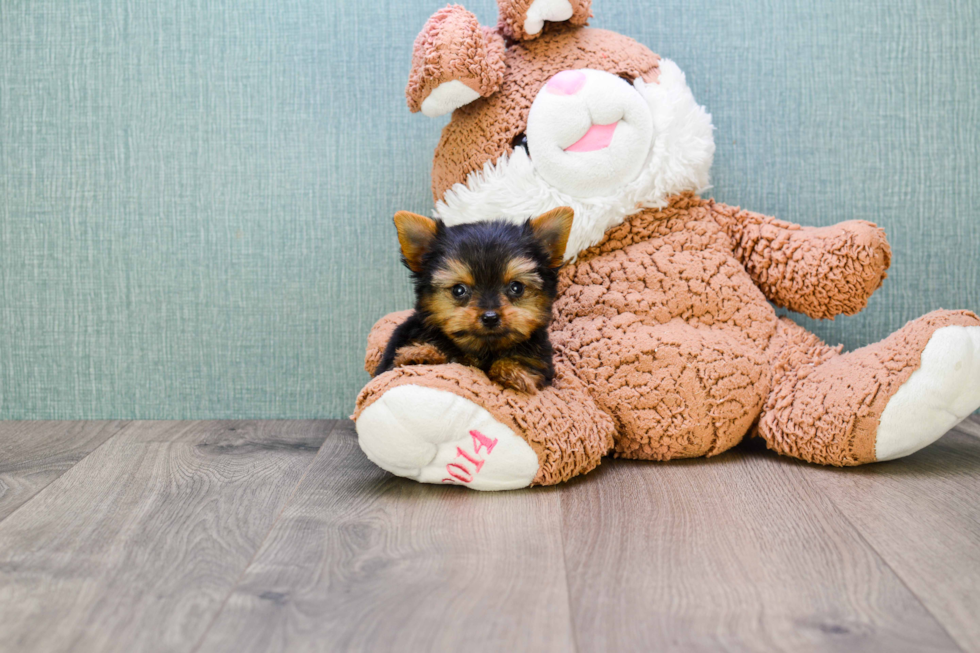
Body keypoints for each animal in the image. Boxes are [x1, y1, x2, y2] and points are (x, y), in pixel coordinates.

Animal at [374, 209, 576, 392]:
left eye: (516, 287)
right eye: (458, 290)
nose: (490, 317)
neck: (484, 349)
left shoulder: (540, 361)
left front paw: (513, 372)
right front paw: (420, 354)